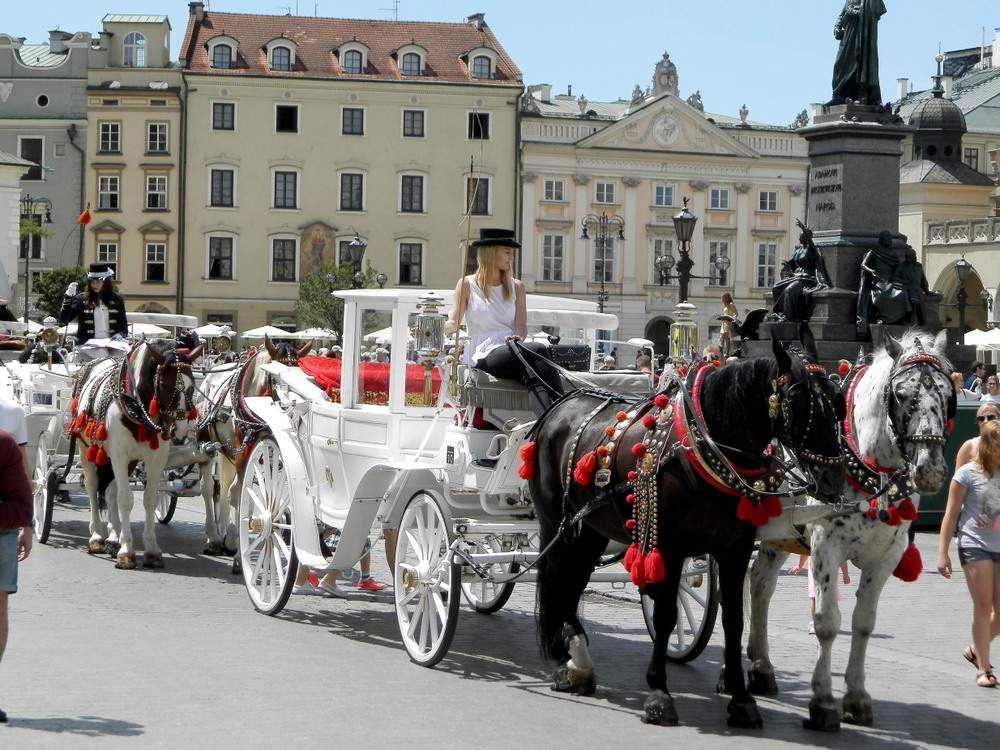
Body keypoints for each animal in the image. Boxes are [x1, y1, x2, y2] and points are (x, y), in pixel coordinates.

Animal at [67, 340, 203, 568]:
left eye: (192, 385)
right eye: (164, 384)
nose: (180, 433)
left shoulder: (156, 459)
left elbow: (149, 499)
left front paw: (151, 550)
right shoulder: (119, 455)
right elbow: (126, 500)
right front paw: (127, 552)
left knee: (110, 491)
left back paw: (114, 538)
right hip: (86, 448)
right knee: (93, 486)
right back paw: (97, 537)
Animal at [192, 334, 308, 564]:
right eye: (278, 379)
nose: (295, 416)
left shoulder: (264, 454)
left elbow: (249, 494)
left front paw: (234, 541)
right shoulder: (242, 453)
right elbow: (238, 494)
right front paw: (237, 551)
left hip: (226, 451)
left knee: (223, 487)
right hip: (206, 444)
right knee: (208, 488)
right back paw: (214, 539)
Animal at [528, 326, 848, 732]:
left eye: (838, 401)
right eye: (794, 398)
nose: (833, 477)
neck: (704, 443)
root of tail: (559, 404)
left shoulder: (735, 549)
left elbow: (733, 620)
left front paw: (742, 699)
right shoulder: (669, 546)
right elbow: (665, 616)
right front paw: (659, 696)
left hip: (590, 528)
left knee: (573, 580)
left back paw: (577, 662)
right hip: (555, 520)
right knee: (558, 578)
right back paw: (571, 658)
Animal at [752, 330, 952, 736]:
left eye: (946, 394)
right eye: (901, 394)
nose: (931, 470)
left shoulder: (887, 555)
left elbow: (863, 624)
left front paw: (857, 698)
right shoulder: (825, 546)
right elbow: (828, 622)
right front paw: (823, 701)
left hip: (777, 536)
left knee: (760, 585)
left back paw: (760, 667)